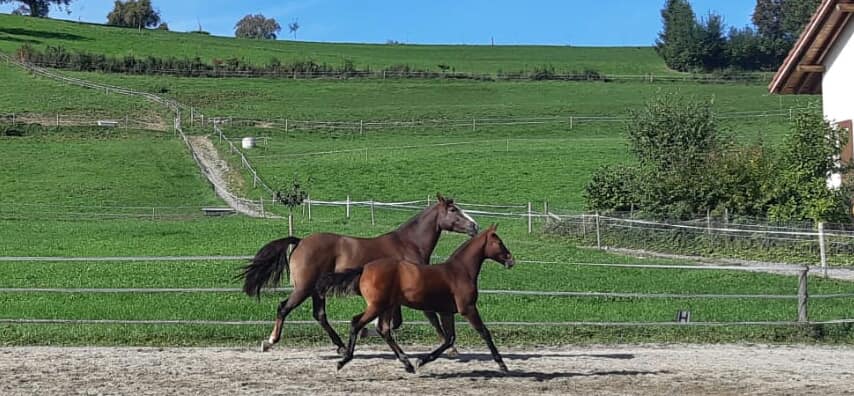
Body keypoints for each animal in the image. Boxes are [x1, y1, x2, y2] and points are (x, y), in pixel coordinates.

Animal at [241, 195, 478, 352]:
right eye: (454, 210)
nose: (474, 226)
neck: (408, 244)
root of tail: (299, 242)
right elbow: (427, 318)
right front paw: (451, 348)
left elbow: (396, 322)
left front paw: (365, 331)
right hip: (304, 288)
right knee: (284, 308)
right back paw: (269, 341)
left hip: (317, 290)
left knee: (319, 315)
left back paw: (341, 346)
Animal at [316, 224, 512, 372]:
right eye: (499, 242)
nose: (511, 260)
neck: (459, 271)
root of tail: (364, 268)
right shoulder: (468, 308)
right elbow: (484, 332)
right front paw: (502, 364)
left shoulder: (446, 312)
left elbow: (449, 339)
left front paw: (421, 361)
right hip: (377, 306)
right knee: (357, 323)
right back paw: (344, 359)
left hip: (387, 306)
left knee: (384, 330)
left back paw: (407, 364)